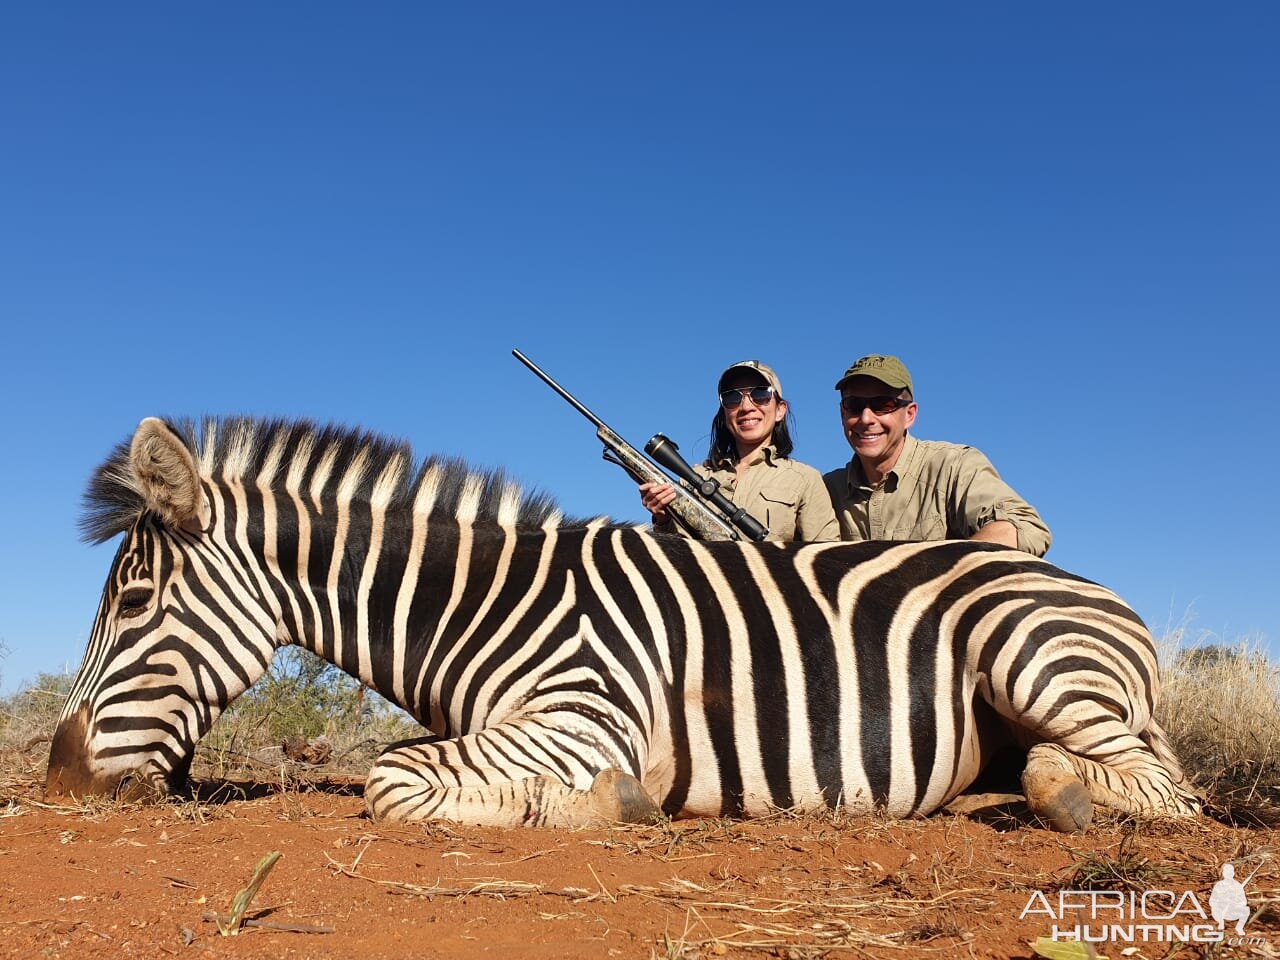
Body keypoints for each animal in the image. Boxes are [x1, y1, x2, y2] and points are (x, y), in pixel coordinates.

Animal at [42, 417, 1198, 829]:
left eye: (131, 602)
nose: (57, 778)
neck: (485, 603)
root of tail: (1102, 596)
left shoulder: (585, 715)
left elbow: (390, 777)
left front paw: (608, 803)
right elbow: (404, 763)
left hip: (1029, 658)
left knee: (1153, 788)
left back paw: (1053, 796)